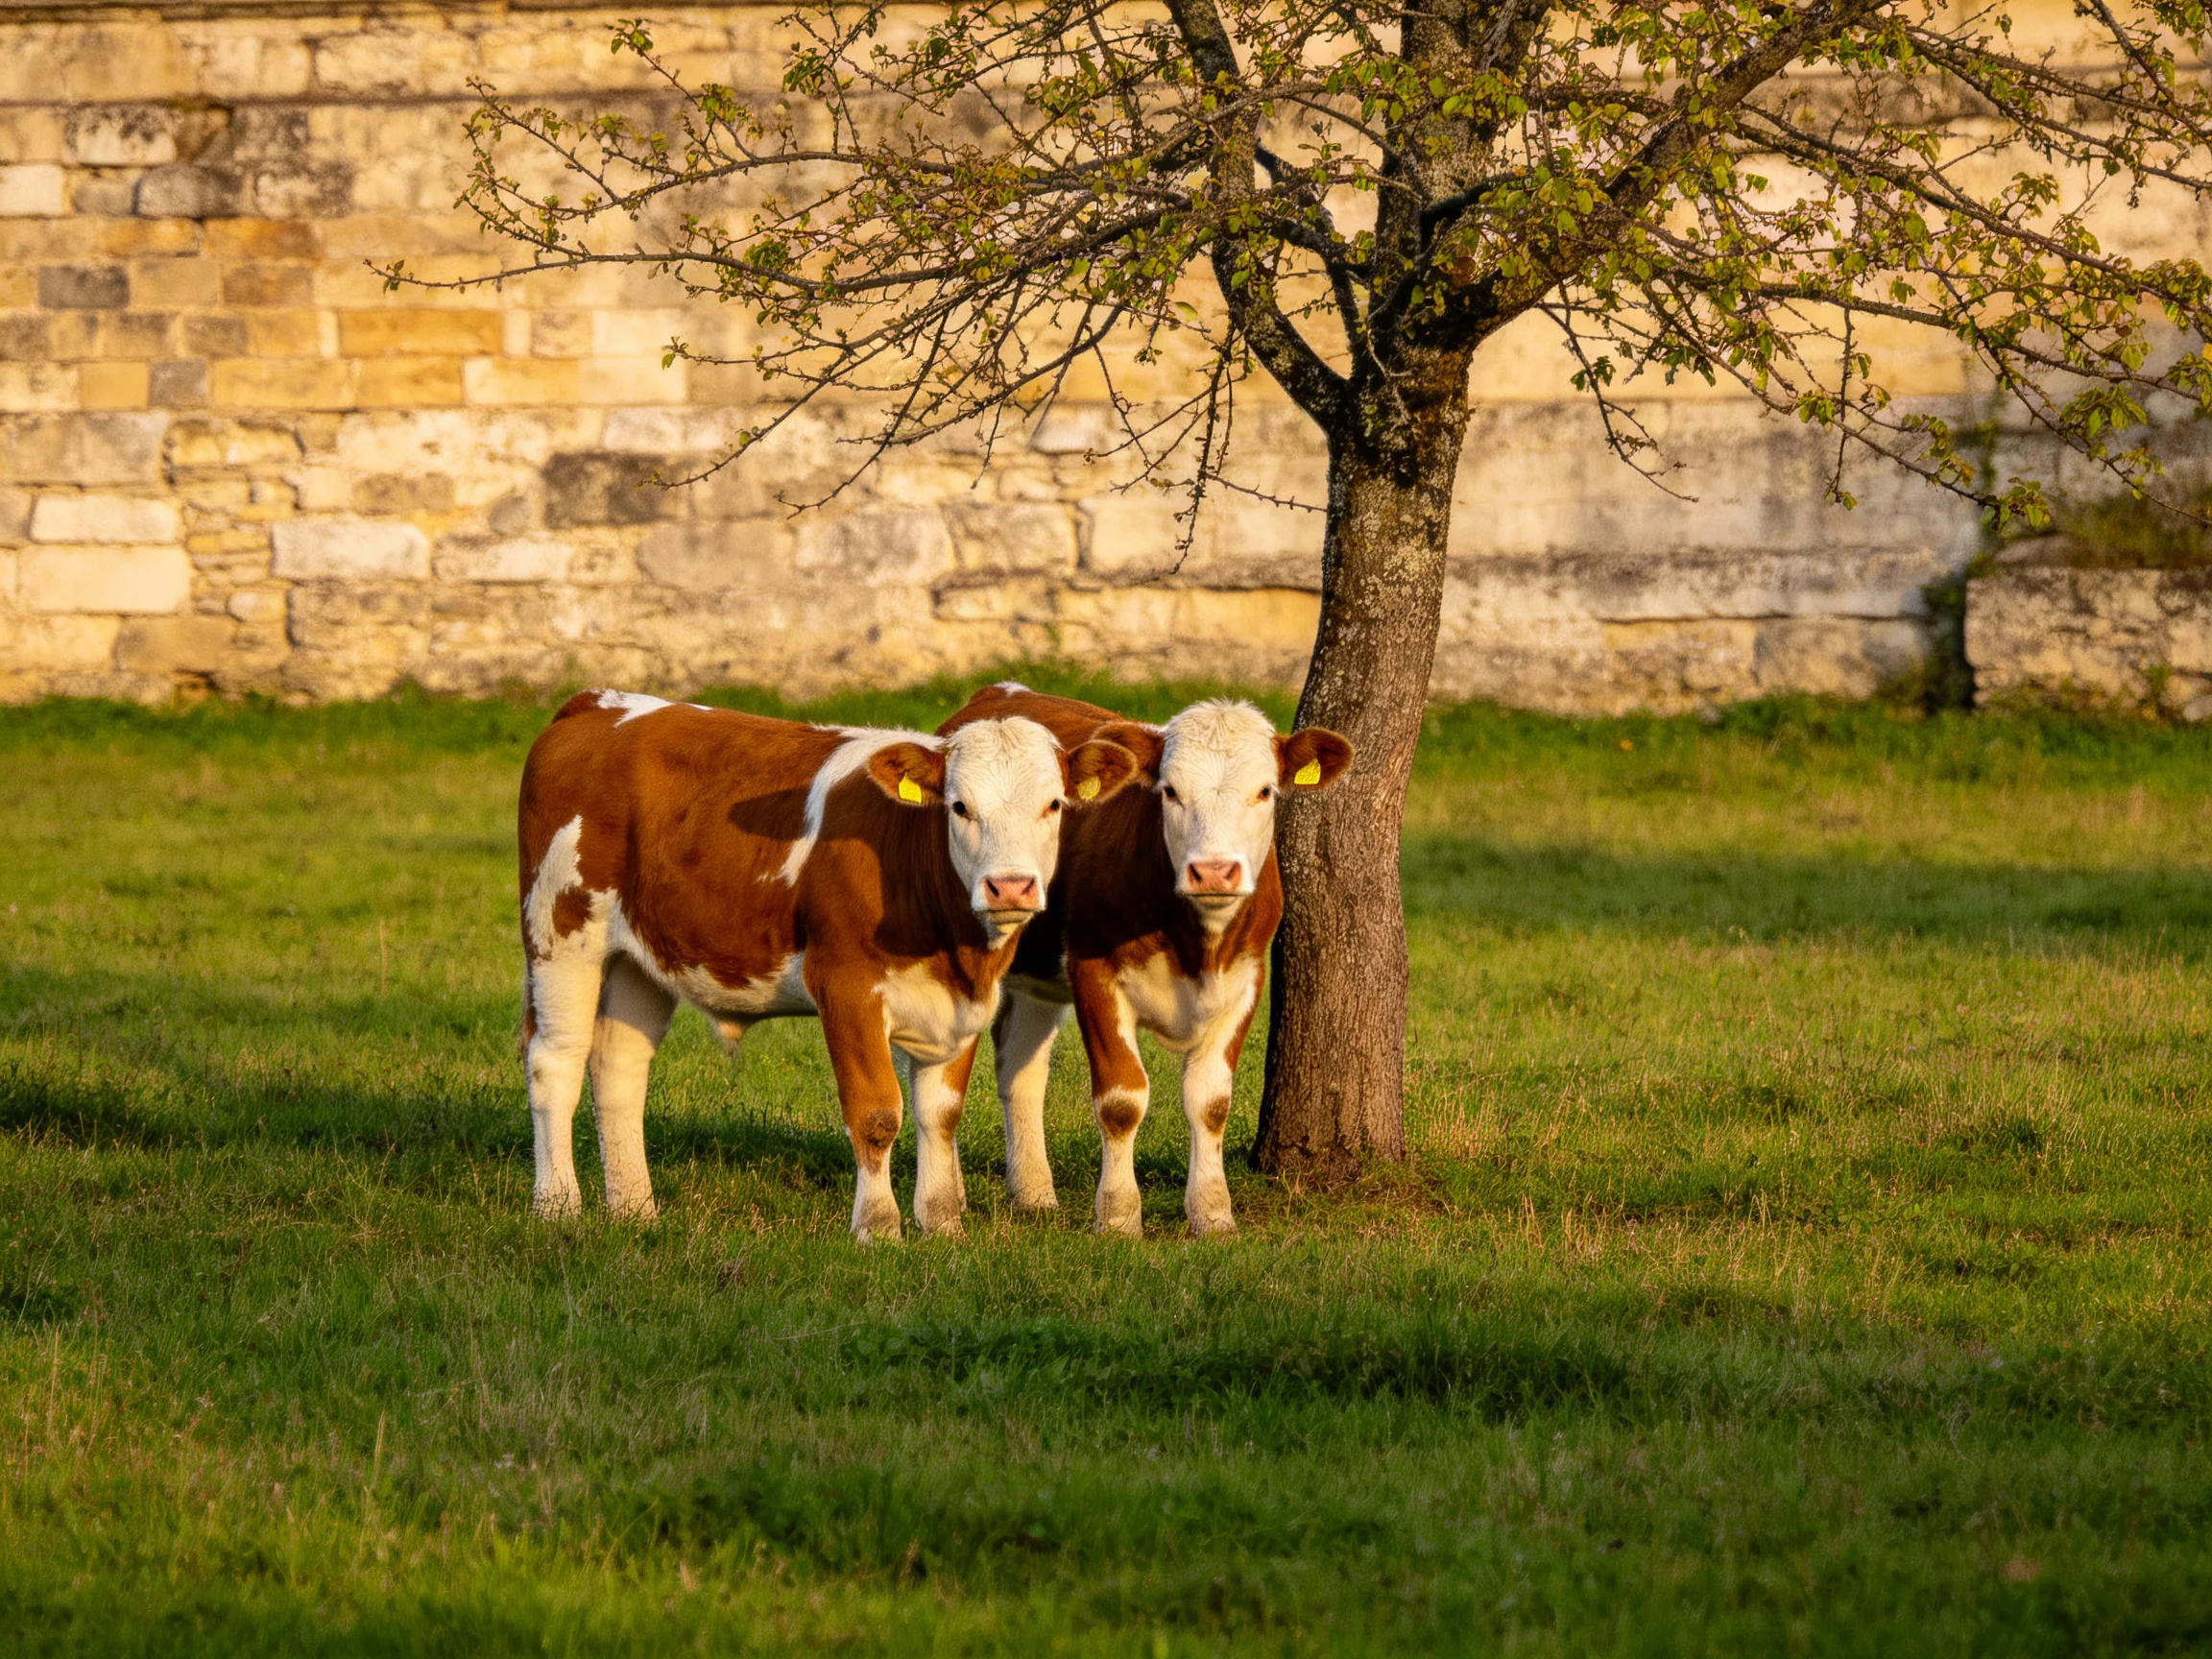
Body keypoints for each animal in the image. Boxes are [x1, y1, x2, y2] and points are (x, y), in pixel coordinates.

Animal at [516, 689, 1139, 1241]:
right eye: (960, 806)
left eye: (1053, 805)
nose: (1010, 886)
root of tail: (595, 704)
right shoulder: (846, 986)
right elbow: (876, 1112)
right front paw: (879, 1228)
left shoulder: (963, 1001)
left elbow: (940, 1112)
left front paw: (942, 1225)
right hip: (561, 933)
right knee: (556, 1062)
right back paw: (558, 1207)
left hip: (639, 960)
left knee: (618, 1066)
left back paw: (635, 1211)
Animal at [939, 683, 1352, 1236]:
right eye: (1170, 791)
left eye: (1265, 791)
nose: (1214, 871)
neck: (1197, 943)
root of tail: (998, 693)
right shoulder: (1094, 971)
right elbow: (1122, 1099)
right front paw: (1117, 1217)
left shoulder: (1246, 979)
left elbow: (1210, 1102)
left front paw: (1213, 1214)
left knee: (1019, 1067)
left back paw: (1033, 1193)